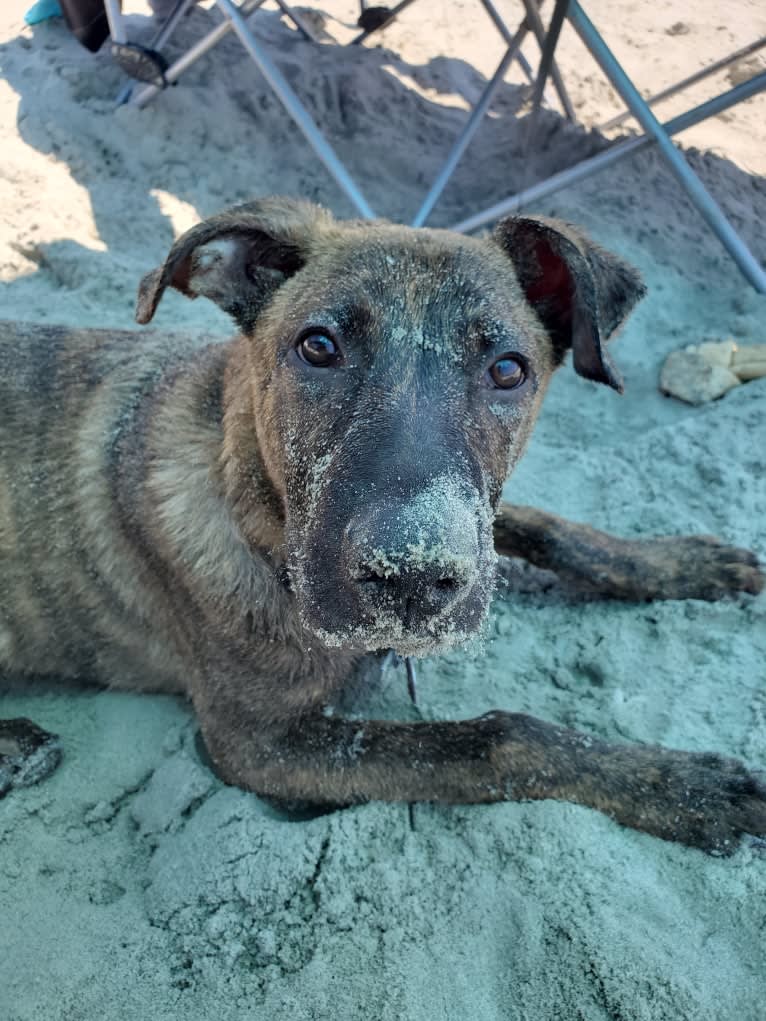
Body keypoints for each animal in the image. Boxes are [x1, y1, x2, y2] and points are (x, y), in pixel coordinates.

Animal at [1, 199, 766, 853]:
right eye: (318, 347)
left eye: (509, 369)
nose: (412, 577)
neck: (247, 498)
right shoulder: (259, 743)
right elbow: (498, 739)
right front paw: (681, 786)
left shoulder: (471, 522)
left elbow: (543, 525)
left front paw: (684, 562)